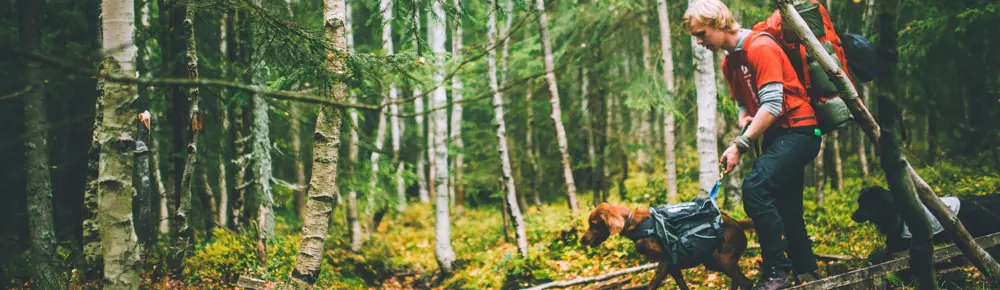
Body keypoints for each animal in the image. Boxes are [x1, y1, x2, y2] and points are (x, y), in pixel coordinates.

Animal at [584, 203, 752, 290]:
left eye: (593, 224)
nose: (581, 240)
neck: (636, 225)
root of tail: (738, 223)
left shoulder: (665, 261)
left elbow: (652, 285)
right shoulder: (673, 265)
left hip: (721, 260)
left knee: (746, 283)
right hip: (714, 261)